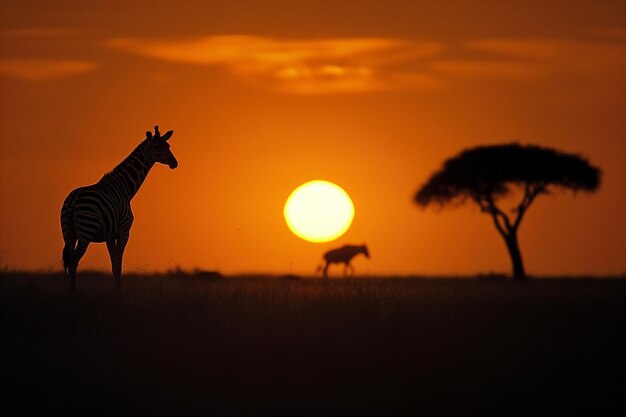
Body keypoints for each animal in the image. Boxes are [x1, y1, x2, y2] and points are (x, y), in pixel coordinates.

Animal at [60, 126, 178, 290]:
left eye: (168, 146)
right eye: (157, 147)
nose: (175, 163)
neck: (124, 187)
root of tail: (73, 199)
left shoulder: (110, 236)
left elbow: (114, 265)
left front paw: (116, 291)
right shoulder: (124, 230)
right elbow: (118, 265)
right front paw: (118, 293)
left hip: (68, 233)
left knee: (68, 261)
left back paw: (69, 291)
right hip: (86, 230)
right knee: (73, 261)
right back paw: (73, 292)